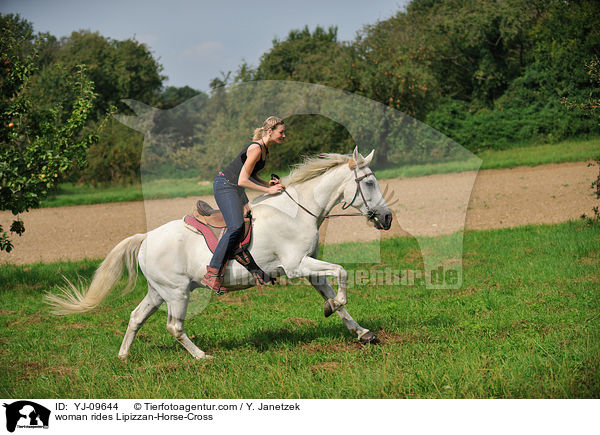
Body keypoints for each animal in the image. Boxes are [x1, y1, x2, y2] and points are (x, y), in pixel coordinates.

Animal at [47, 148, 394, 360]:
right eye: (370, 183)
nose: (388, 218)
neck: (298, 211)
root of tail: (146, 238)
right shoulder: (297, 265)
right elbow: (342, 273)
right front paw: (333, 308)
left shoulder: (309, 267)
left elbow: (335, 293)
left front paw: (361, 331)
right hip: (177, 293)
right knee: (174, 327)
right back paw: (203, 357)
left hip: (158, 292)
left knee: (135, 317)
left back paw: (123, 357)